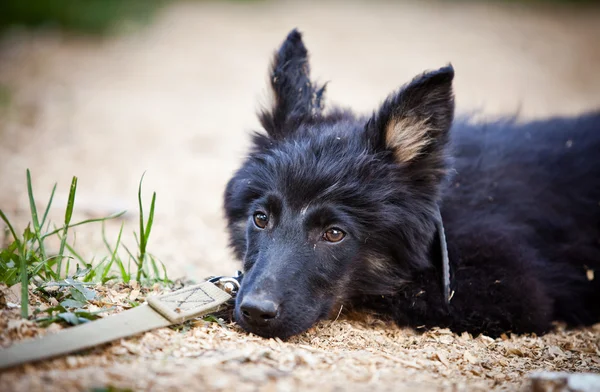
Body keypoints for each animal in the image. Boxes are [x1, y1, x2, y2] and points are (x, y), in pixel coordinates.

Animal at [221, 29, 600, 338]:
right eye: (260, 218)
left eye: (334, 233)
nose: (255, 311)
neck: (442, 211)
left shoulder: (513, 290)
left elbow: (399, 292)